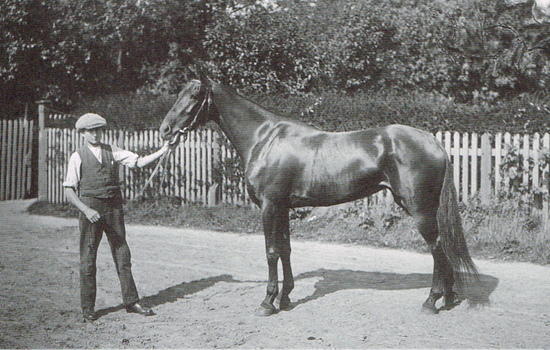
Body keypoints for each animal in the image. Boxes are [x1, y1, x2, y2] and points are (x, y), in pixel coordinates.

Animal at [160, 75, 478, 316]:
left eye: (194, 95)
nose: (165, 130)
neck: (264, 138)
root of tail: (433, 141)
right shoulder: (283, 207)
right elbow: (285, 249)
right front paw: (286, 298)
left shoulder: (269, 206)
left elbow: (271, 251)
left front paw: (267, 302)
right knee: (444, 247)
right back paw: (449, 298)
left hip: (420, 210)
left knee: (437, 248)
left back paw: (432, 301)